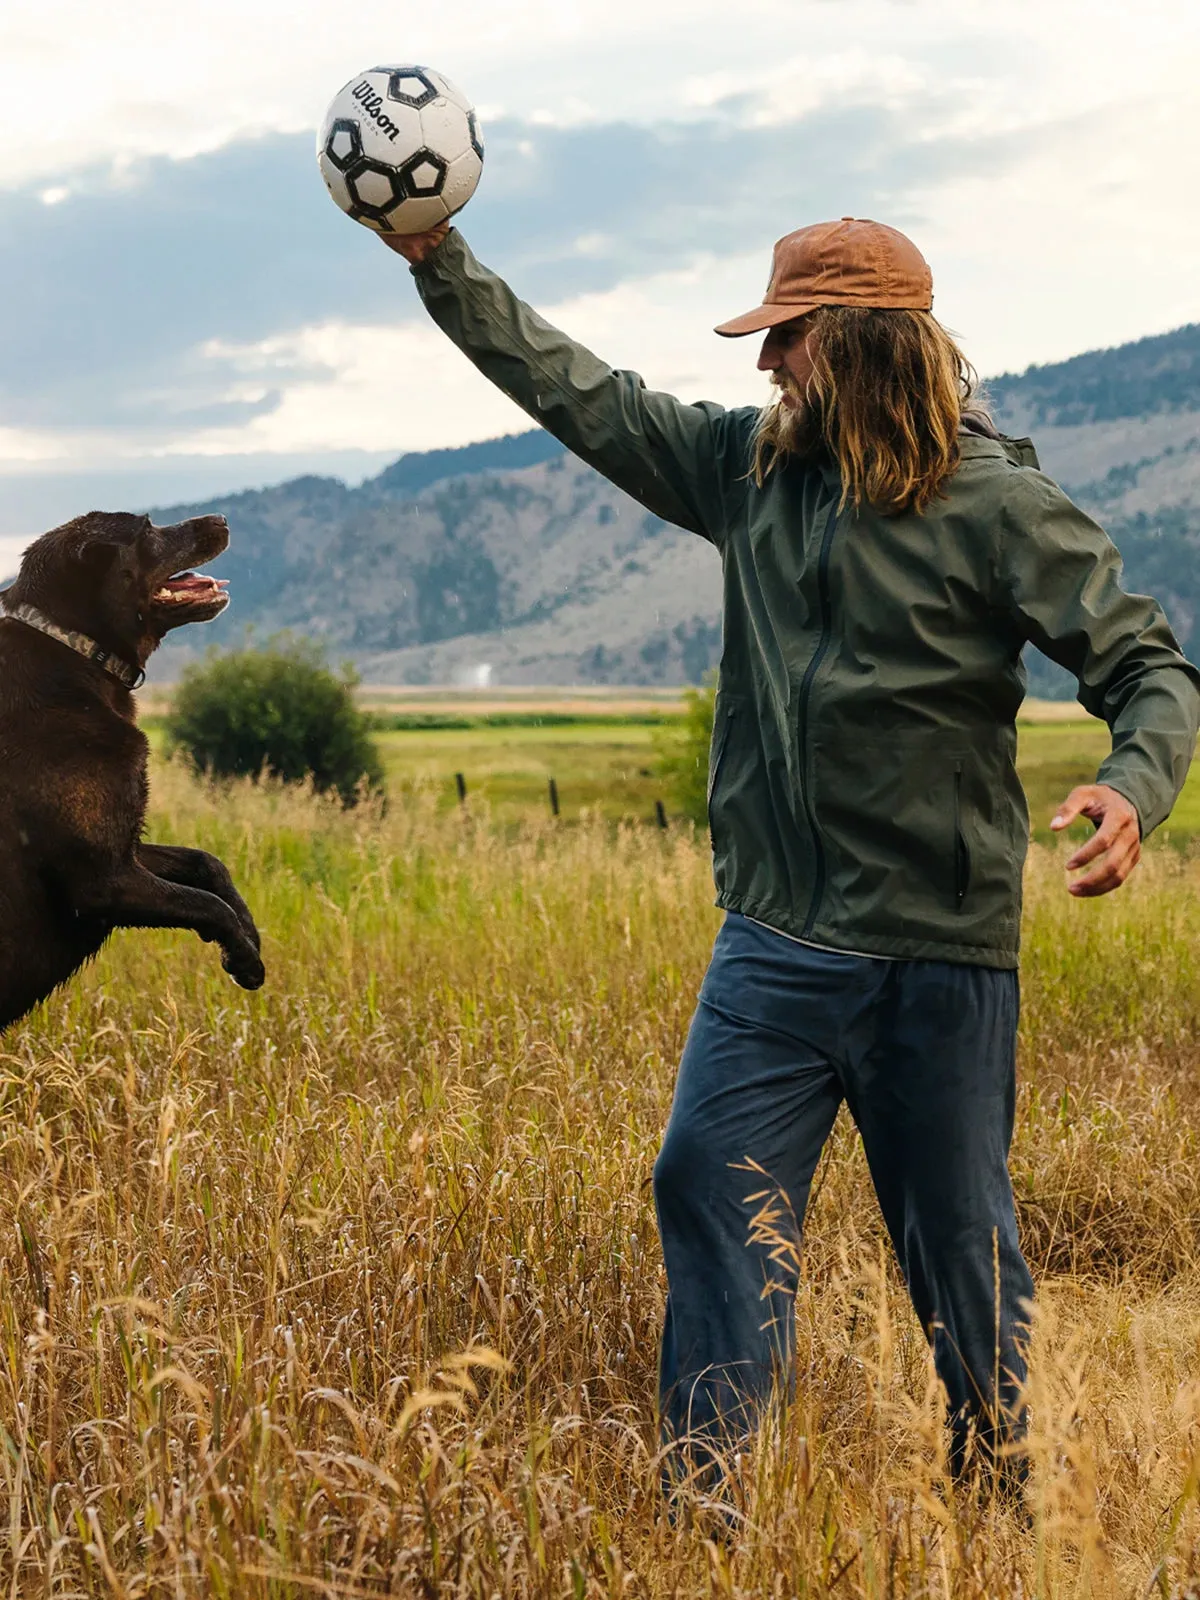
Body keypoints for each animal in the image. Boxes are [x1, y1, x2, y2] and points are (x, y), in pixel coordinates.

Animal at [0, 515, 265, 1036]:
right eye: (146, 529)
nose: (221, 519)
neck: (77, 650)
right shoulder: (104, 882)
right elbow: (205, 904)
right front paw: (243, 957)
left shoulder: (127, 849)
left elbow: (207, 864)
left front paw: (249, 932)